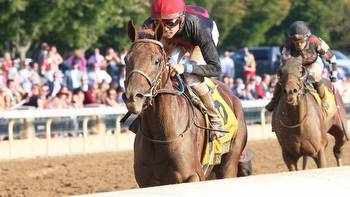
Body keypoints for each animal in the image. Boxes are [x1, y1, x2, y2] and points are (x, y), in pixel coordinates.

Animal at [123, 22, 249, 187]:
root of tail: (233, 96)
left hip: (230, 162)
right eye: (126, 60)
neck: (162, 135)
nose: (133, 97)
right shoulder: (146, 182)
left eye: (157, 61)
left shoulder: (193, 176)